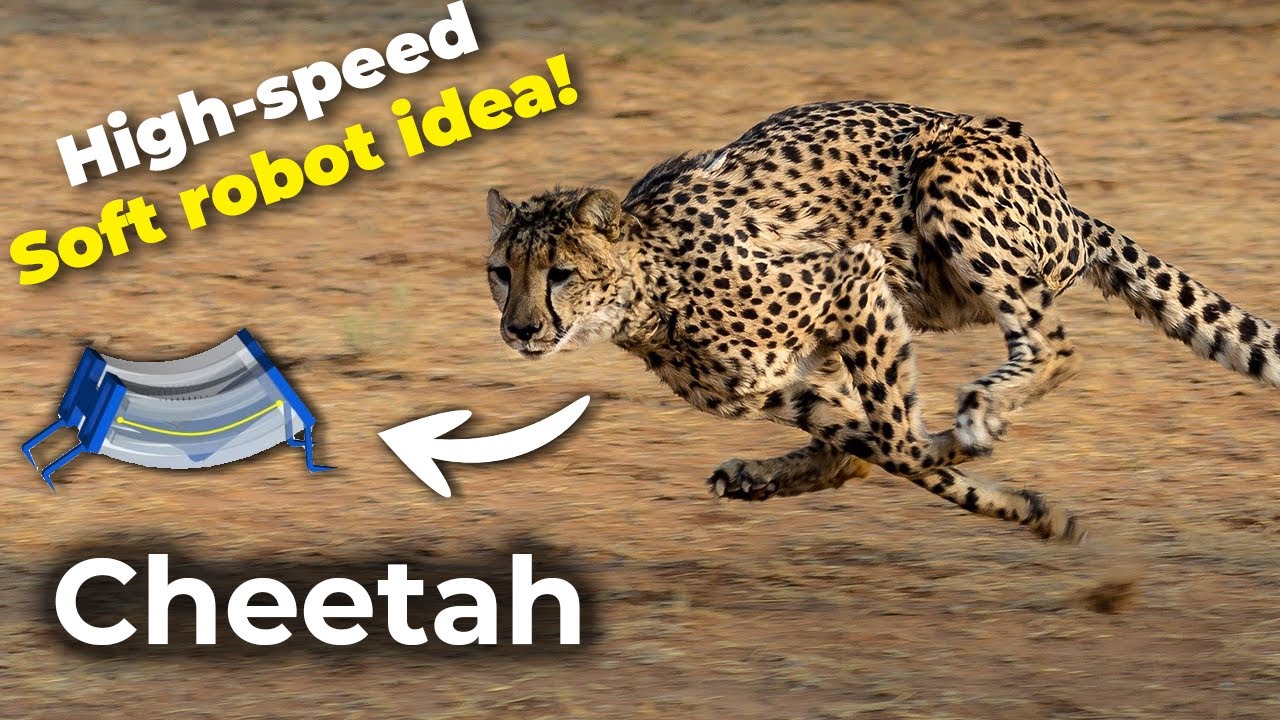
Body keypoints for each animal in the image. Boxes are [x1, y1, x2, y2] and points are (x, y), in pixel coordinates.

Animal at [483, 100, 1280, 544]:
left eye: (560, 273)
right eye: (502, 273)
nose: (519, 330)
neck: (649, 289)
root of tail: (1068, 202)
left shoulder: (854, 278)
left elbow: (900, 444)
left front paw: (974, 455)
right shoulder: (783, 383)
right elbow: (877, 450)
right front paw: (1027, 509)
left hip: (947, 183)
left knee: (1052, 345)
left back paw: (981, 410)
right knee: (855, 449)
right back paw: (758, 476)